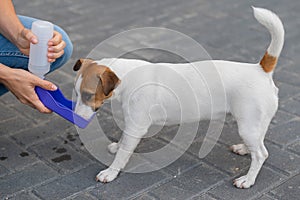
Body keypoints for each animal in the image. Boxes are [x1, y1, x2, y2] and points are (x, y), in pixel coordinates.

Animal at [72, 7, 284, 189]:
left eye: (88, 95)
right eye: (76, 93)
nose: (75, 118)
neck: (127, 77)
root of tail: (261, 69)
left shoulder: (136, 126)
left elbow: (124, 152)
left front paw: (111, 172)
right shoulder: (132, 123)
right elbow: (123, 141)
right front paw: (117, 146)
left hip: (247, 124)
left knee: (261, 154)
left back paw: (248, 180)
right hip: (253, 123)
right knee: (258, 142)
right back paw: (245, 149)